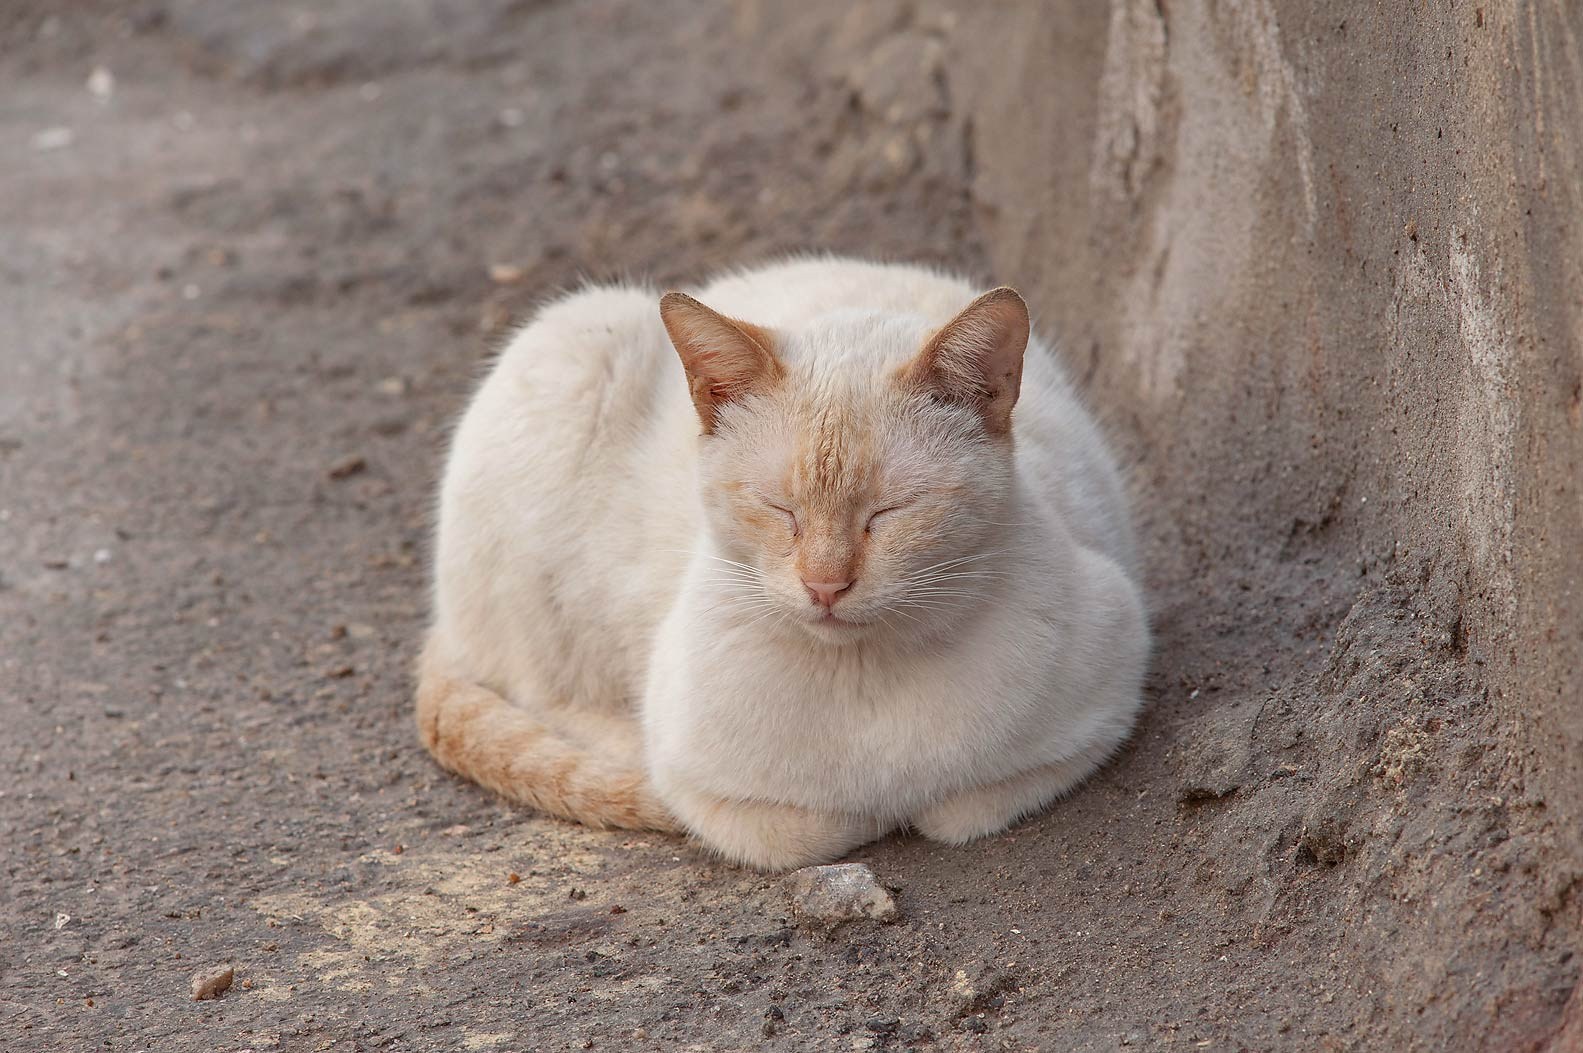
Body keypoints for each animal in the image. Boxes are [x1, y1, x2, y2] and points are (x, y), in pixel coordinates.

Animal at [414, 256, 1146, 867]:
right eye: (779, 509)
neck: (862, 681)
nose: (826, 585)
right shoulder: (713, 791)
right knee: (539, 690)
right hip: (571, 349)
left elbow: (958, 808)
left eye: (887, 513)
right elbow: (809, 829)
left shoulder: (1103, 704)